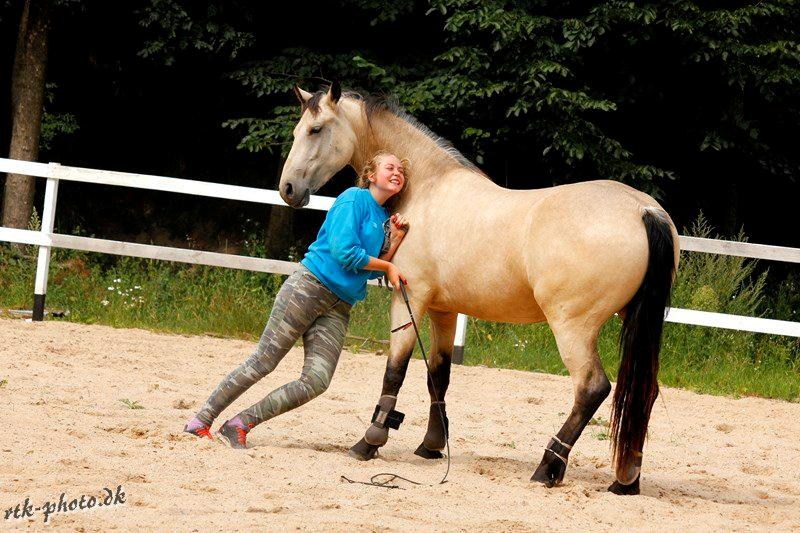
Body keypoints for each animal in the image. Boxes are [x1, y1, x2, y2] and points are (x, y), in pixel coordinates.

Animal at [278, 81, 680, 492]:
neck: (427, 189)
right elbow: (438, 376)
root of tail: (643, 210)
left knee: (592, 388)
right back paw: (625, 480)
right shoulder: (443, 310)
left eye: (315, 130)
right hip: (633, 321)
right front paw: (431, 445)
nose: (288, 189)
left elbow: (396, 370)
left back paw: (548, 467)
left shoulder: (411, 298)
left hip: (573, 327)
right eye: (297, 131)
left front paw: (369, 443)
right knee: (644, 391)